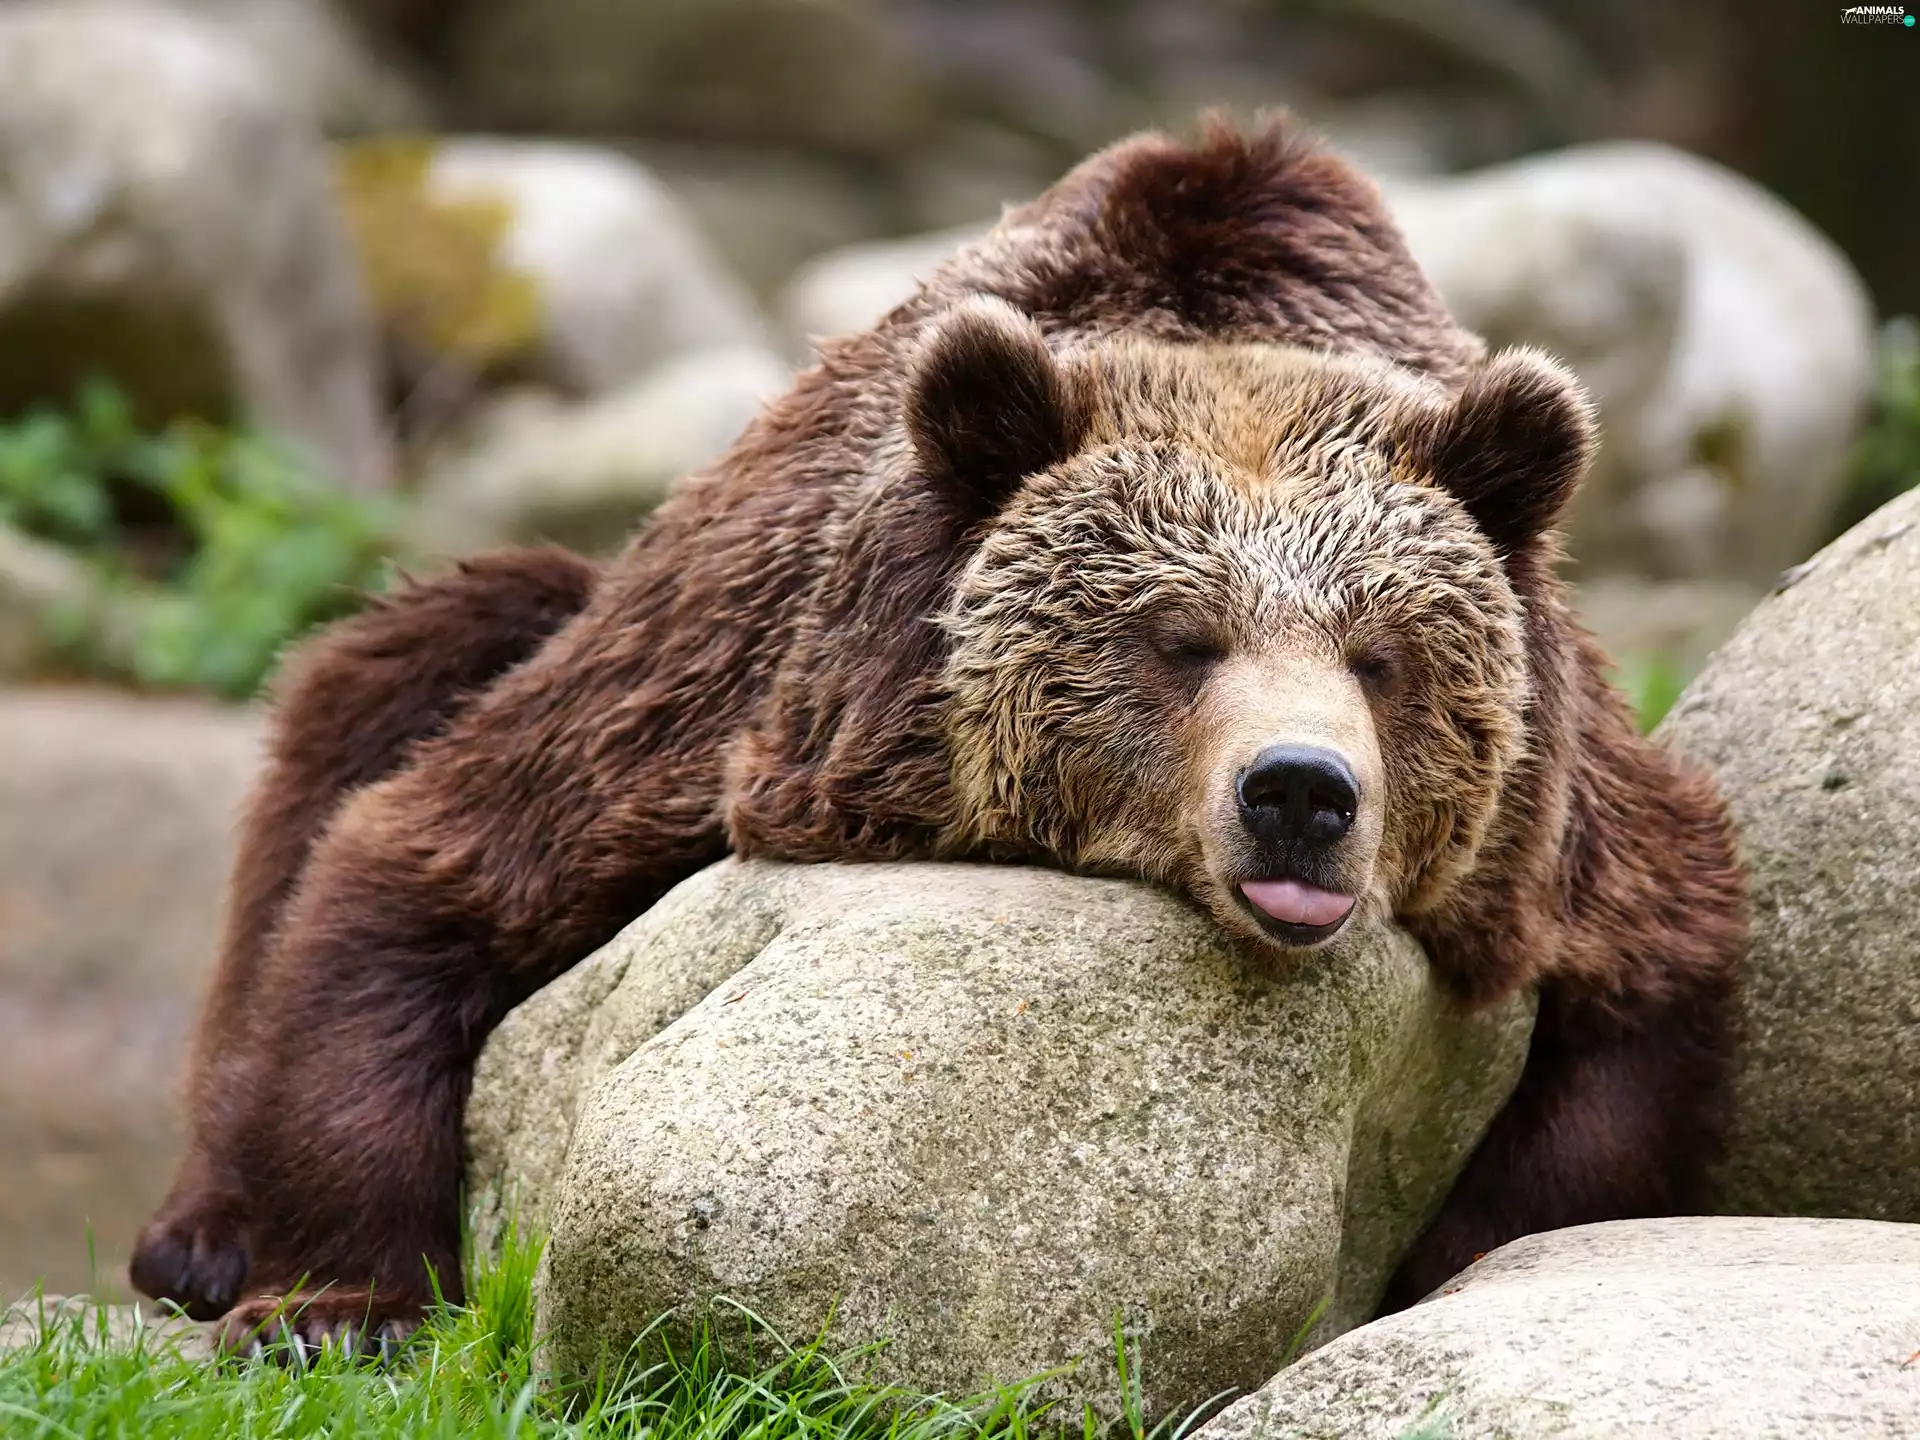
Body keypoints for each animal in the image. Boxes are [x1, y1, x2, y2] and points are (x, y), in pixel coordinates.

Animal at [131, 115, 1746, 1353]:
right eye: (1181, 640)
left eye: (1380, 656)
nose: (1300, 793)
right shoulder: (738, 696)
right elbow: (429, 858)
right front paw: (332, 1301)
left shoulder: (1554, 827)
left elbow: (1639, 1001)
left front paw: (1433, 1263)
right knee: (401, 667)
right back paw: (196, 1235)